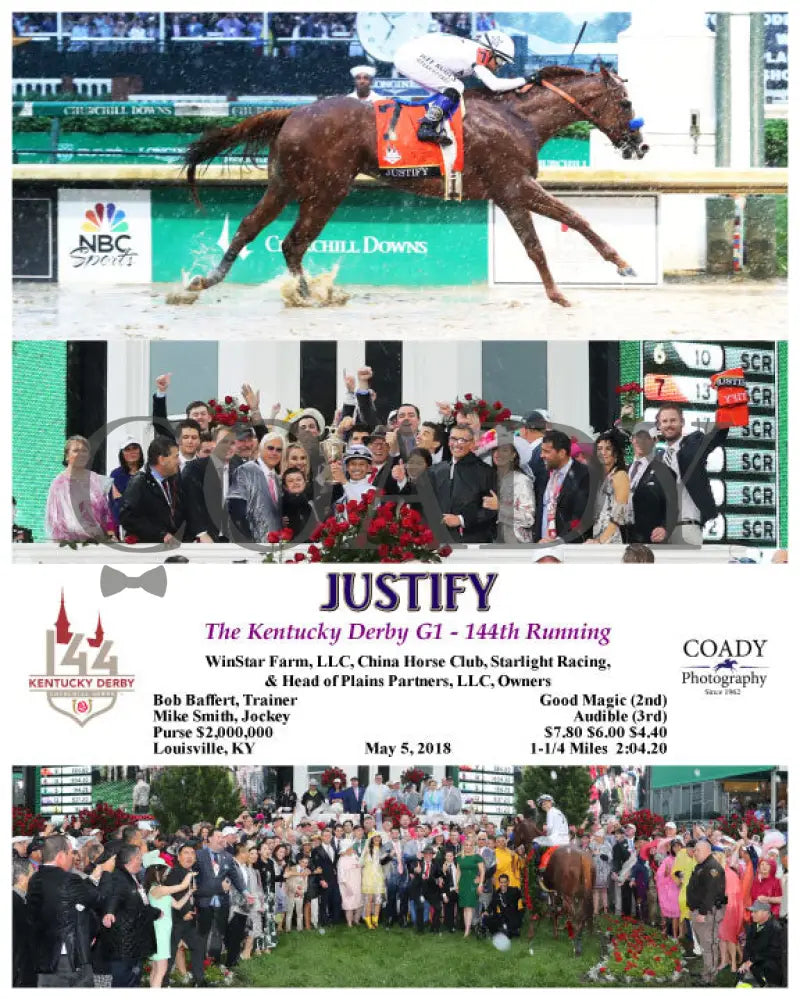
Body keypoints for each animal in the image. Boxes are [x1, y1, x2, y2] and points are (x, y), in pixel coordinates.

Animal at [184, 65, 648, 306]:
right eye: (626, 102)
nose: (640, 145)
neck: (518, 118)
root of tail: (292, 112)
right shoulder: (513, 186)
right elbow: (551, 233)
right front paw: (569, 289)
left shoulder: (511, 190)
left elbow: (567, 225)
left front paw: (614, 267)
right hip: (327, 189)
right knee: (292, 241)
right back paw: (305, 293)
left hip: (285, 184)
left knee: (253, 227)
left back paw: (211, 281)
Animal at [512, 812, 592, 952]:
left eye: (514, 830)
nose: (509, 844)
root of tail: (581, 856)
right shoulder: (551, 889)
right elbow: (553, 906)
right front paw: (555, 931)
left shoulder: (534, 886)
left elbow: (535, 905)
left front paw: (532, 932)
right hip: (582, 895)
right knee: (579, 914)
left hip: (568, 895)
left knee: (572, 912)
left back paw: (574, 941)